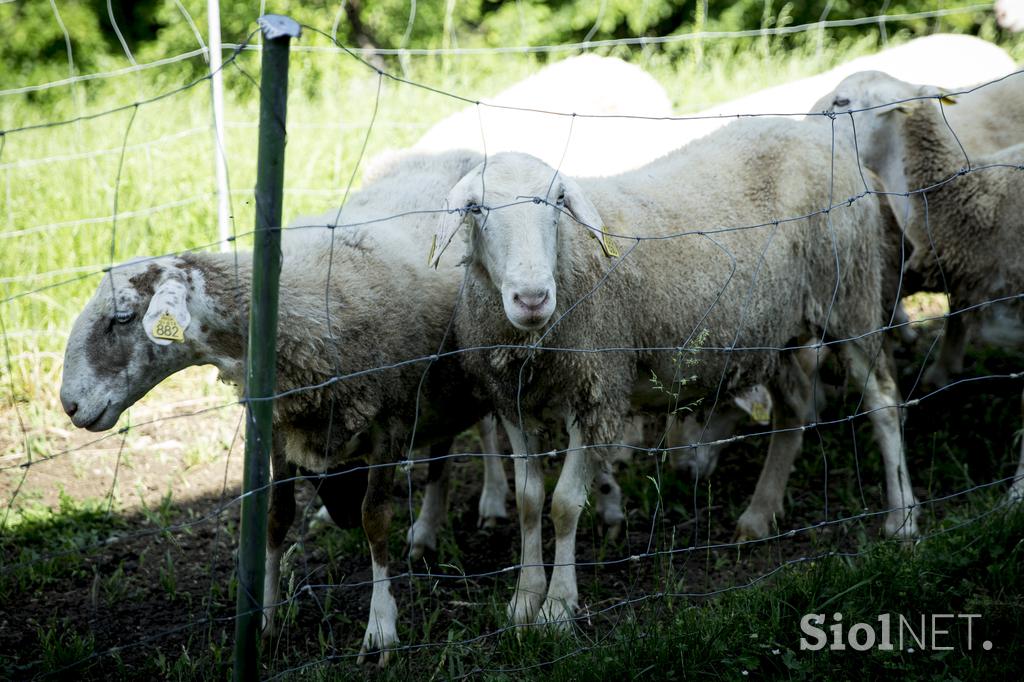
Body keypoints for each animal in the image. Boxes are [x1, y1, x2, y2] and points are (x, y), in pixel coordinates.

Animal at [58, 148, 499, 663]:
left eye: (123, 317)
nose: (69, 405)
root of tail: (458, 151)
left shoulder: (389, 419)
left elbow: (374, 521)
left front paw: (380, 629)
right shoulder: (281, 425)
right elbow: (275, 517)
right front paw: (264, 621)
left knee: (488, 431)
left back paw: (490, 502)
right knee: (443, 450)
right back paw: (426, 530)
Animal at [432, 112, 921, 626]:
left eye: (559, 201)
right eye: (476, 209)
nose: (531, 298)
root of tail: (819, 137)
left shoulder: (597, 393)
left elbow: (564, 505)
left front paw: (558, 608)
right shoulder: (513, 402)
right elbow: (529, 502)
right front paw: (524, 600)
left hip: (847, 294)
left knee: (884, 403)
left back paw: (902, 519)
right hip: (777, 331)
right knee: (793, 411)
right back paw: (759, 514)